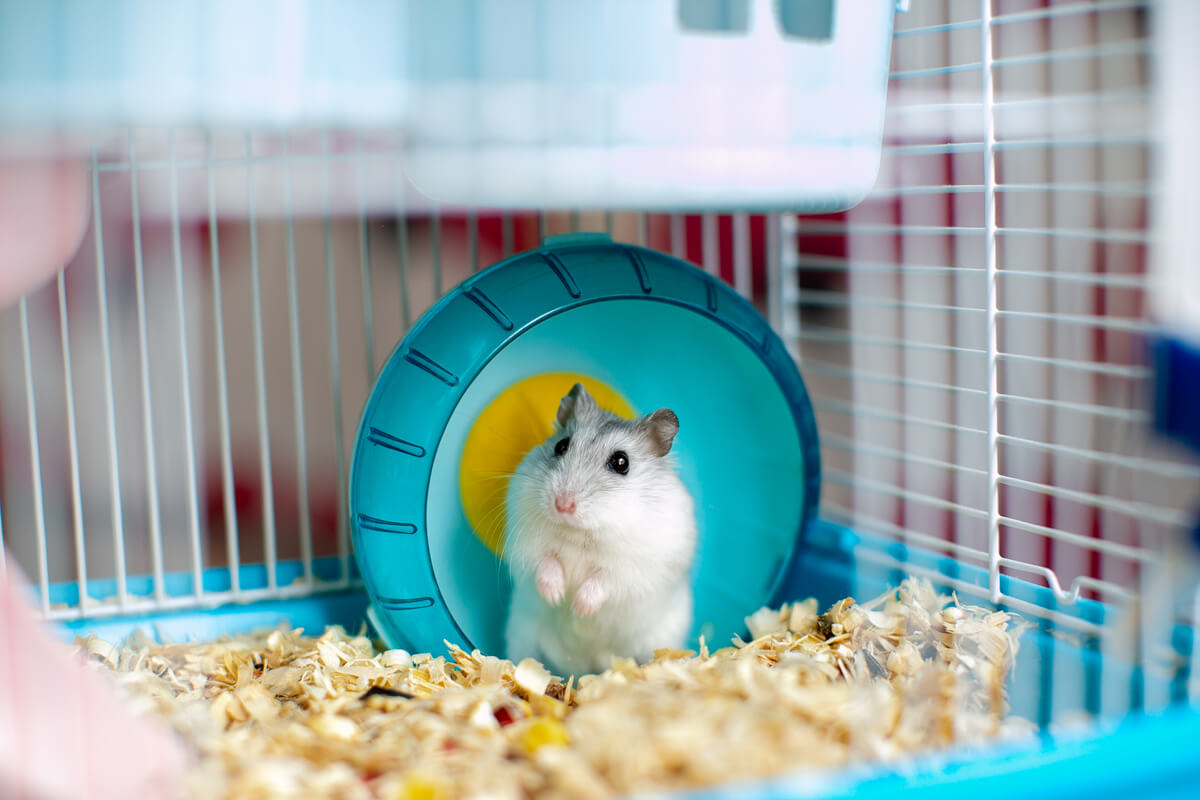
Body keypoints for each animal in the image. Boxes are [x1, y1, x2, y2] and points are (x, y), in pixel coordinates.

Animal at [503, 383, 697, 676]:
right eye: (561, 445)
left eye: (621, 462)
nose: (562, 505)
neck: (581, 533)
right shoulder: (527, 543)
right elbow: (545, 562)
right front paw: (557, 596)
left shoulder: (636, 568)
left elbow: (604, 580)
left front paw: (579, 608)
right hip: (521, 635)